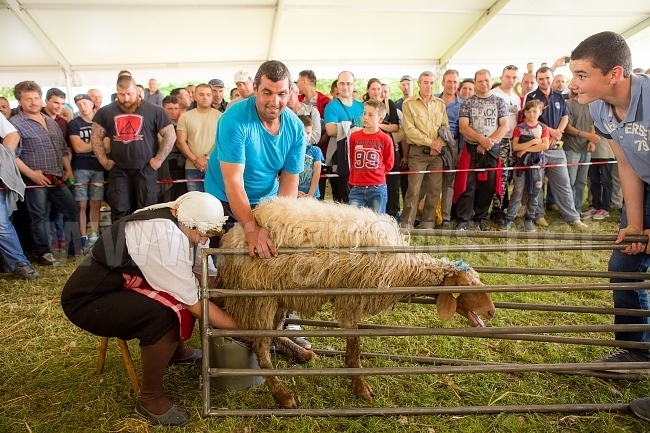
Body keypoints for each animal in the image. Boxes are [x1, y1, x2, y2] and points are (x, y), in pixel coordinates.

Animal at [213, 197, 492, 406]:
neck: (402, 268)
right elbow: (355, 345)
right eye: (465, 287)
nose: (491, 312)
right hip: (259, 298)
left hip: (276, 298)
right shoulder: (350, 298)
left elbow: (353, 344)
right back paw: (283, 395)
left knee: (269, 335)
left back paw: (301, 354)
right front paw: (361, 386)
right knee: (261, 349)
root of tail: (232, 236)